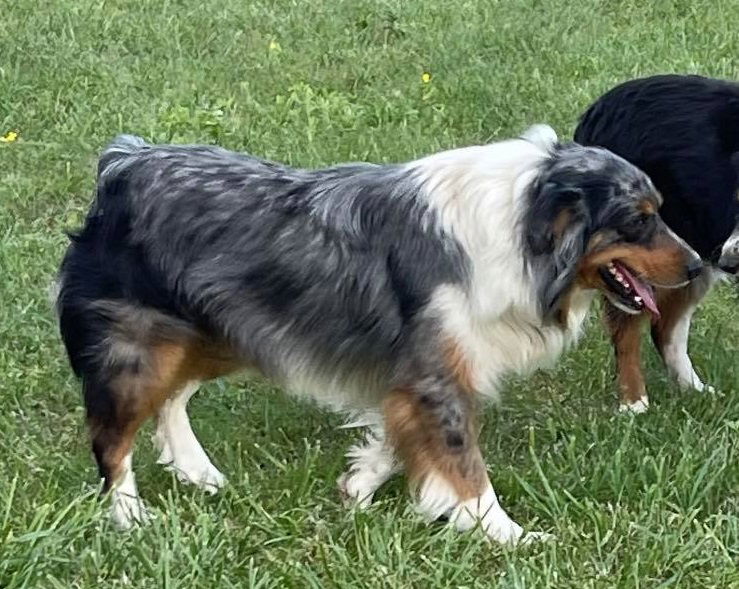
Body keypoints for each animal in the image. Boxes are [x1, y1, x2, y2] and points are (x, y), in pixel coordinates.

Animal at [580, 73, 739, 412]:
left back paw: (694, 390)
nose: (730, 263)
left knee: (665, 329)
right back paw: (634, 403)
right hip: (639, 251)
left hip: (687, 257)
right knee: (629, 328)